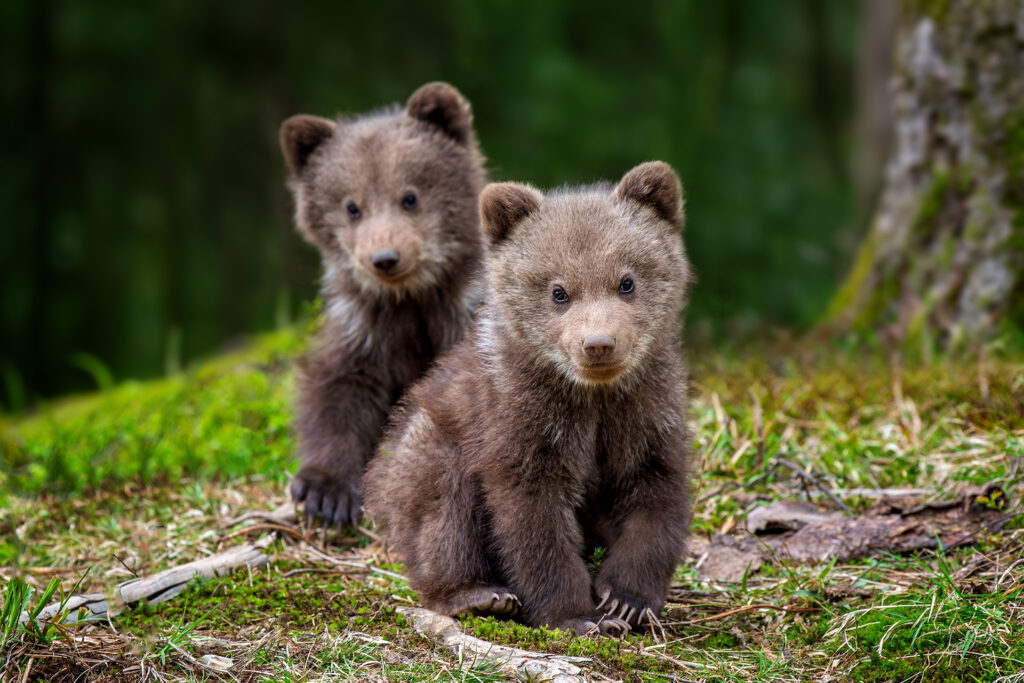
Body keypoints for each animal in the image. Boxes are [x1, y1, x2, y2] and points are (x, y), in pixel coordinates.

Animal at [279, 82, 486, 529]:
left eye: (409, 196)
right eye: (351, 206)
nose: (385, 258)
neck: (412, 297)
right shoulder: (363, 326)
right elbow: (336, 390)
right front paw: (325, 491)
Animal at [364, 161, 695, 636]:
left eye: (627, 281)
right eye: (559, 291)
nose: (598, 344)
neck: (592, 395)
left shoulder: (647, 408)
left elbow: (654, 494)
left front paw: (626, 599)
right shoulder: (521, 417)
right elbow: (533, 517)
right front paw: (575, 615)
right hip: (428, 444)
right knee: (442, 510)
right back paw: (477, 594)